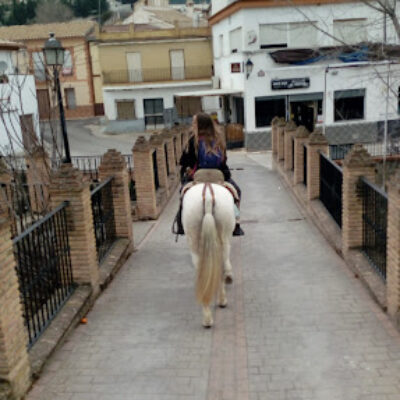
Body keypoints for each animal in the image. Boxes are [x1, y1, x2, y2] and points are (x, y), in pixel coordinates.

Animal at [180, 175, 234, 328]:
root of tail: (208, 195)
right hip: (223, 236)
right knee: (222, 264)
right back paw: (221, 301)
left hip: (193, 238)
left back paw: (207, 316)